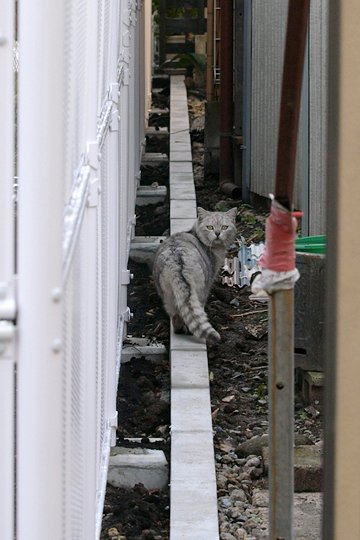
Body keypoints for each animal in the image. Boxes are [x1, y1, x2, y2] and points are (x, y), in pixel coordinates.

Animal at [153, 207, 238, 342]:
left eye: (224, 227)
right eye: (210, 227)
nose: (217, 233)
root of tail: (176, 259)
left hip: (166, 293)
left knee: (176, 314)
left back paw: (178, 330)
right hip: (200, 289)